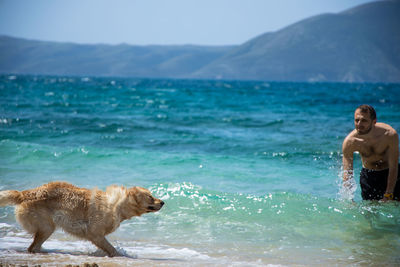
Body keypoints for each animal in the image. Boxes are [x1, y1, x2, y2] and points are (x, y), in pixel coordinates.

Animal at [0, 182, 164, 258]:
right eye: (150, 197)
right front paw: (121, 255)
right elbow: (112, 249)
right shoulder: (95, 233)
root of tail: (25, 193)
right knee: (33, 246)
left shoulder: (98, 236)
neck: (117, 205)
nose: (163, 202)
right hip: (46, 226)